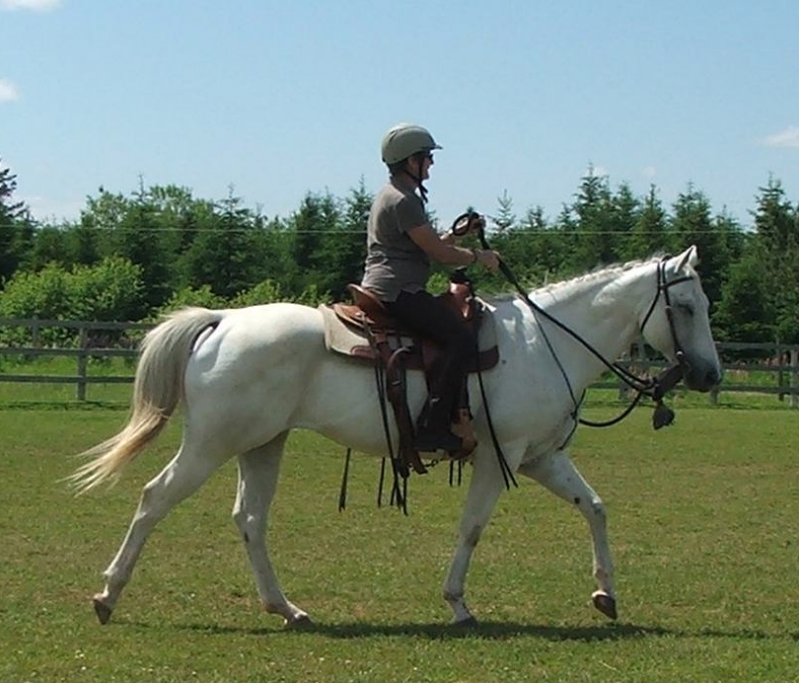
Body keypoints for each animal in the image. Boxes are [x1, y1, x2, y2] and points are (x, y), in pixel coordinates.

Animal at [73, 246, 724, 632]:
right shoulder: (502, 458)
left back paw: (287, 608)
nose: (710, 375)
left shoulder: (541, 457)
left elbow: (595, 506)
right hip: (212, 444)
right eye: (687, 305)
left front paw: (605, 595)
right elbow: (473, 528)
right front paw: (458, 604)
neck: (547, 343)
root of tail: (223, 321)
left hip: (263, 443)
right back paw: (108, 595)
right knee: (156, 498)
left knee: (250, 520)